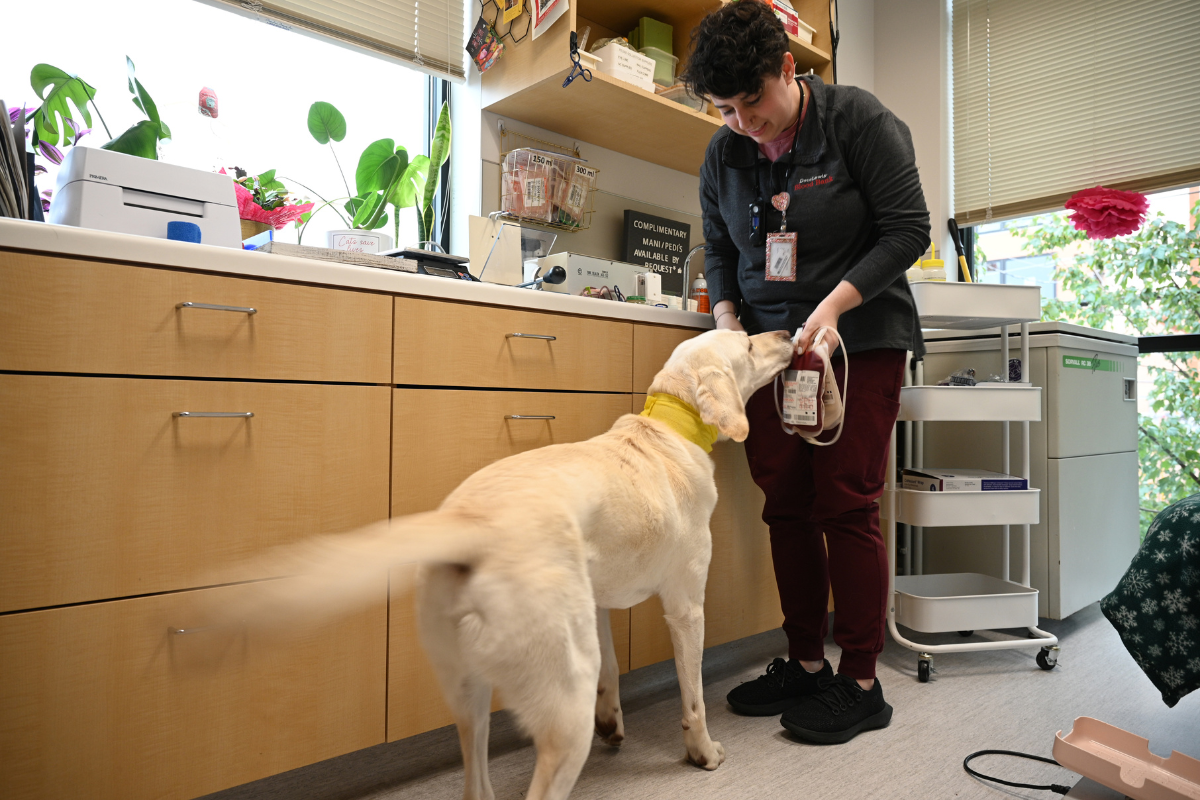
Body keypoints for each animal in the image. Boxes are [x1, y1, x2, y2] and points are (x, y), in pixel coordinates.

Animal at [234, 328, 796, 800]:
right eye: (748, 344)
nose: (788, 333)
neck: (668, 429)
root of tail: (470, 527)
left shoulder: (595, 602)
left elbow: (612, 667)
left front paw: (613, 720)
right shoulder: (685, 607)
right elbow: (693, 694)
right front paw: (702, 752)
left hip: (471, 694)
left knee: (477, 782)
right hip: (563, 708)